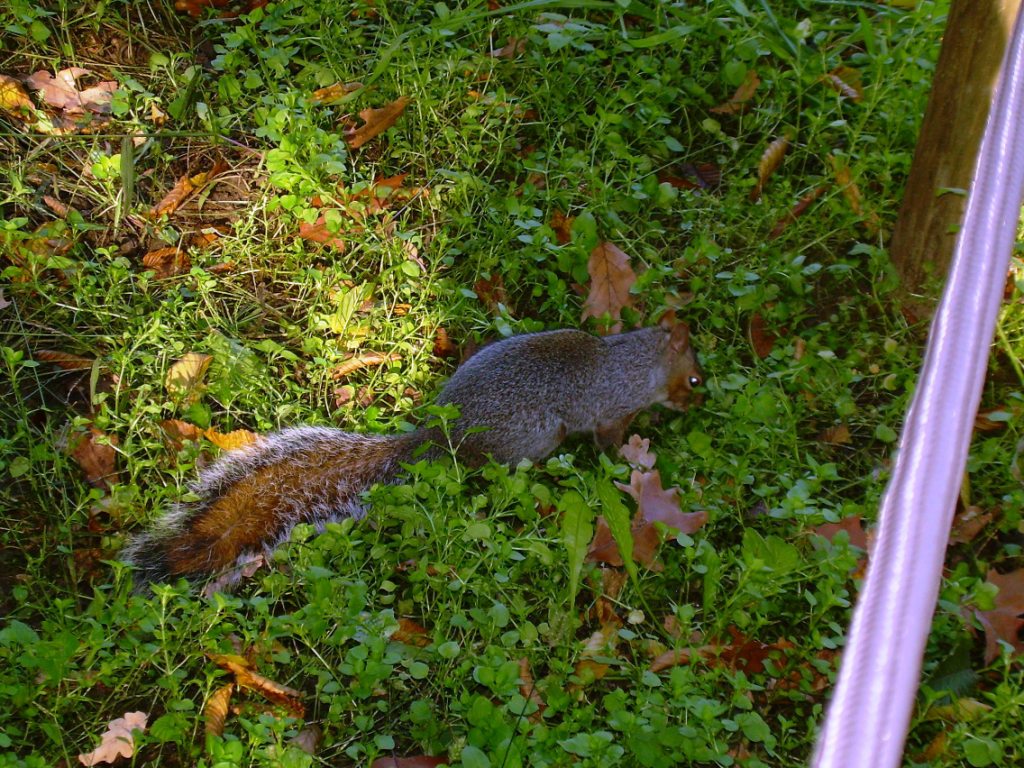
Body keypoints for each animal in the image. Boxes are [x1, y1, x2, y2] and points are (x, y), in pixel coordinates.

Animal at [117, 315, 696, 593]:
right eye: (692, 377)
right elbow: (609, 441)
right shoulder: (611, 411)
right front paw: (630, 458)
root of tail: (437, 438)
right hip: (534, 440)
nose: (698, 400)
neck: (634, 359)